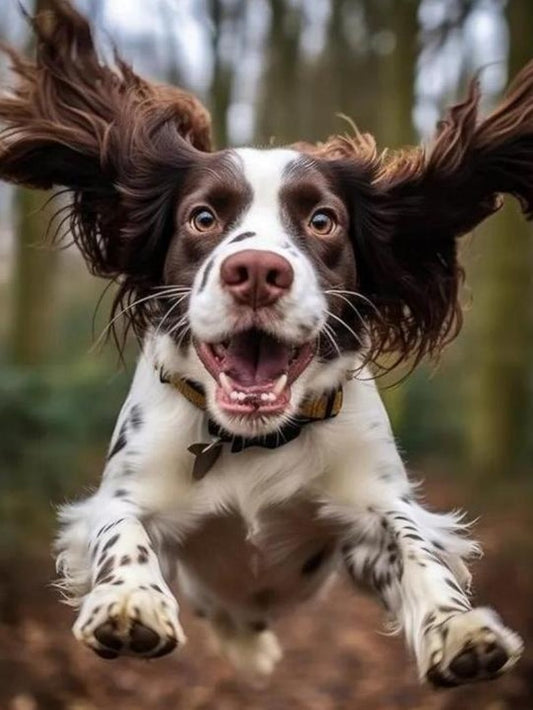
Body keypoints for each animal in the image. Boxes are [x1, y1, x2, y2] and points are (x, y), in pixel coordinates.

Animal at [0, 1, 528, 688]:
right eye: (202, 217)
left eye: (322, 220)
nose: (255, 270)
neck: (251, 443)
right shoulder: (125, 488)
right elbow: (120, 528)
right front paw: (128, 599)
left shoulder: (369, 509)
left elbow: (416, 545)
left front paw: (458, 628)